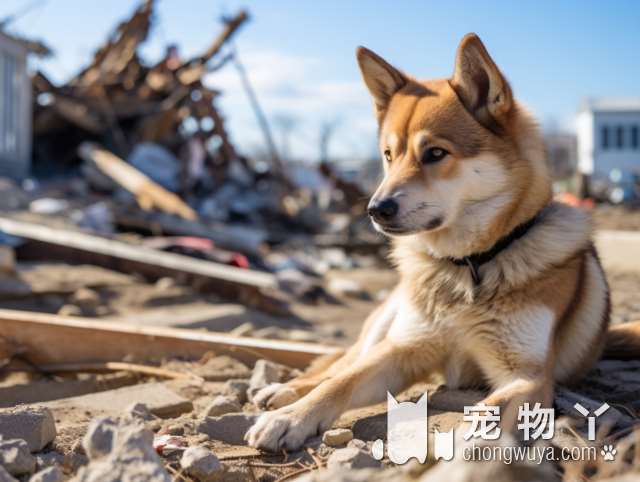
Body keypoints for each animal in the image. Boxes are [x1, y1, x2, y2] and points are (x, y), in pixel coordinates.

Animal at [245, 34, 640, 452]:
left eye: (435, 153)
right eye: (389, 155)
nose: (375, 209)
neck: (471, 264)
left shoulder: (527, 376)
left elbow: (486, 412)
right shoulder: (403, 350)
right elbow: (341, 382)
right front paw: (292, 416)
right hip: (384, 325)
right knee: (341, 362)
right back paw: (284, 392)